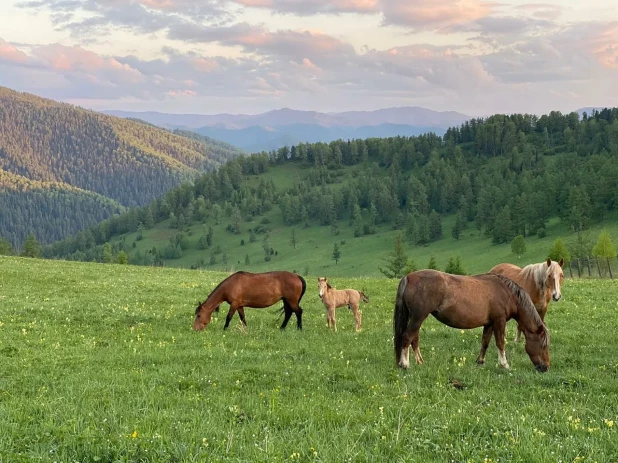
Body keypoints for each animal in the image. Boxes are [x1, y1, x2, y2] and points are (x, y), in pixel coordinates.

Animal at [392, 272, 548, 374]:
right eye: (543, 346)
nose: (545, 368)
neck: (507, 293)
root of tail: (408, 277)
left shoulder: (489, 323)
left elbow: (485, 342)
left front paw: (480, 362)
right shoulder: (499, 321)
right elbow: (500, 343)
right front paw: (504, 365)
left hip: (416, 318)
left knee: (414, 339)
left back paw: (419, 362)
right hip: (418, 317)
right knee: (407, 337)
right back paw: (405, 364)